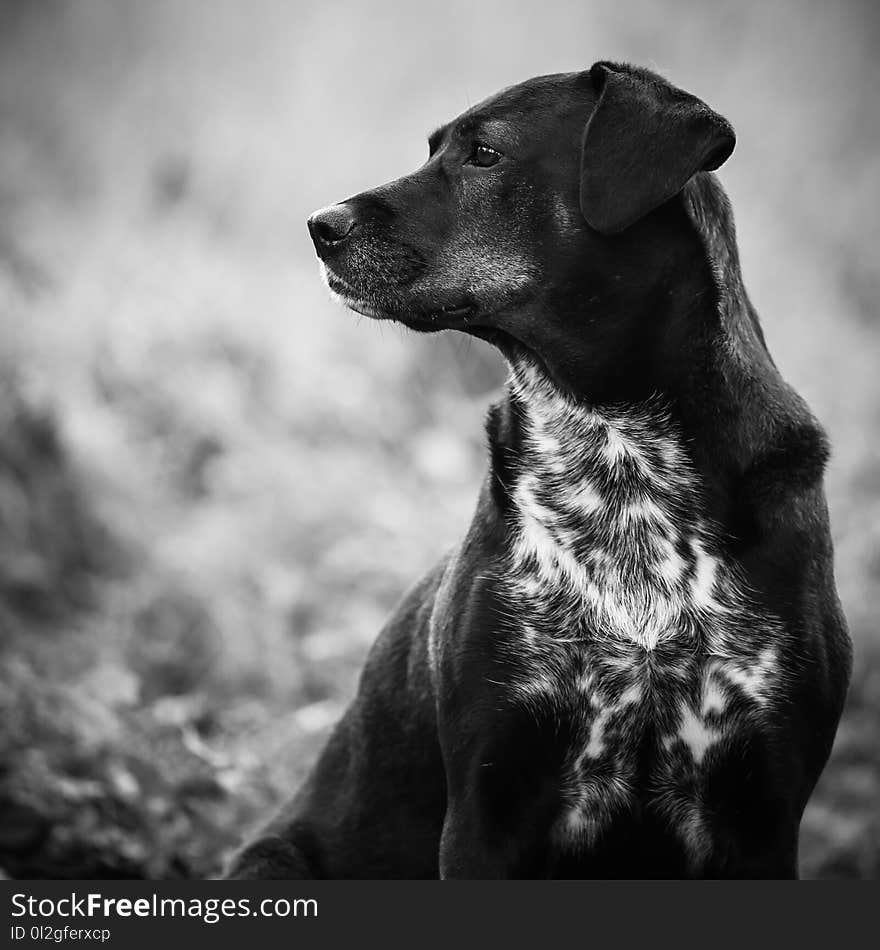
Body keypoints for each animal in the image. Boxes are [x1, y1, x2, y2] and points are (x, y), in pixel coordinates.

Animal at [229, 57, 852, 876]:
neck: (616, 453)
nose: (319, 225)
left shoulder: (763, 811)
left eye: (485, 153)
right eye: (433, 148)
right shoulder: (488, 805)